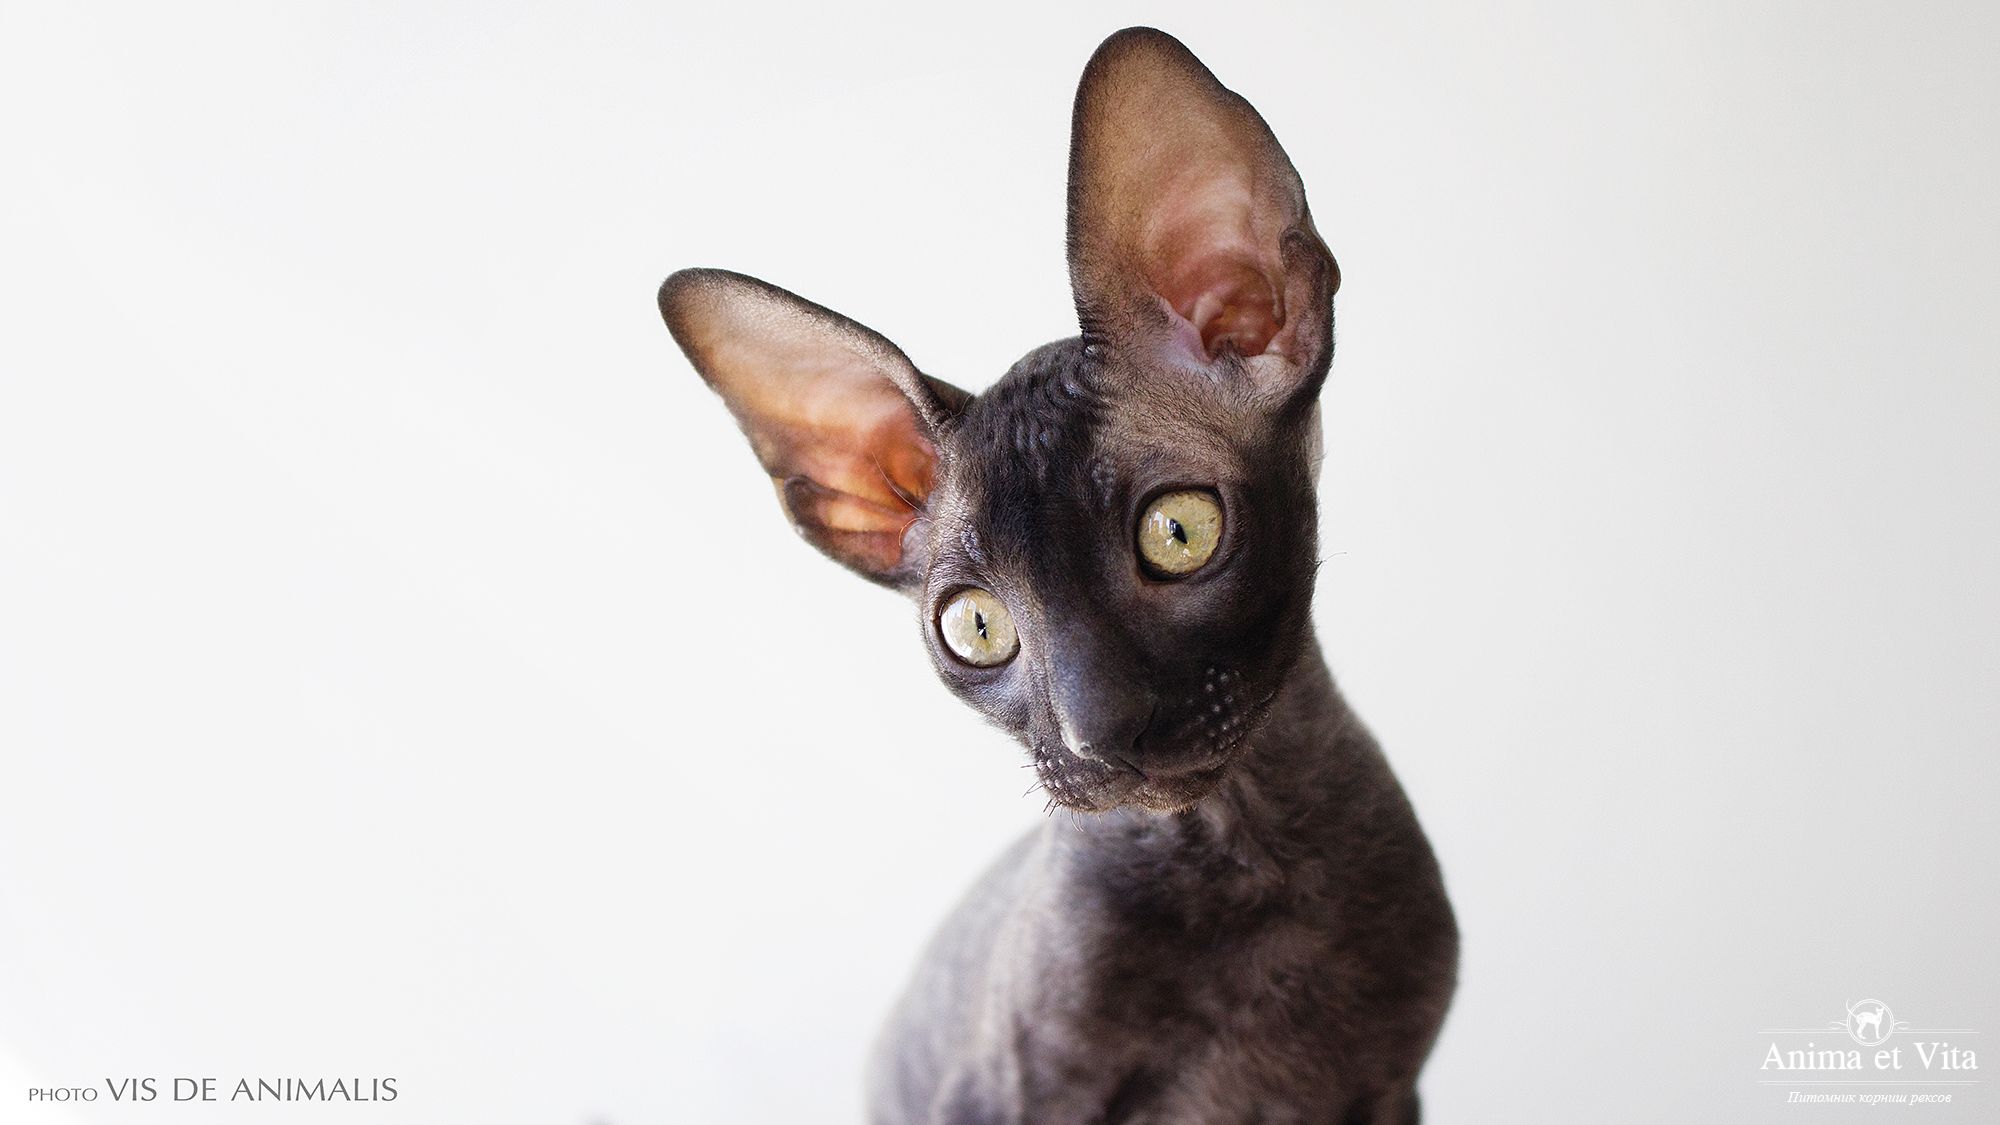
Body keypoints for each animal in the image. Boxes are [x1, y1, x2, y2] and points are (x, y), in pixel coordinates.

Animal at [659, 26, 1456, 1125]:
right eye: (975, 627)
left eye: (1179, 532)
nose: (1099, 729)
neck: (1240, 856)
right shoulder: (1004, 1096)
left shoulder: (1387, 1093)